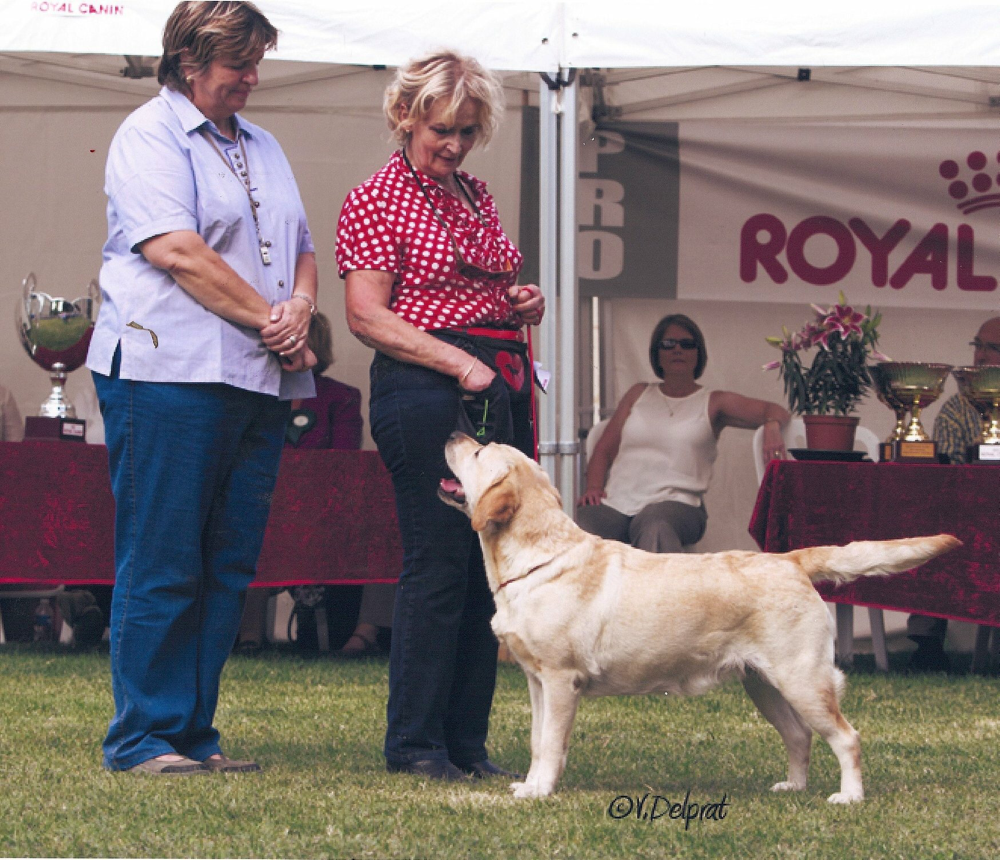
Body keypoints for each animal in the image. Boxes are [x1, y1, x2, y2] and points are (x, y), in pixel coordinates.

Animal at [442, 434, 956, 804]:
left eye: (479, 449)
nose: (452, 432)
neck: (537, 559)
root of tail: (790, 559)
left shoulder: (561, 680)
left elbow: (550, 744)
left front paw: (542, 791)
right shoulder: (536, 680)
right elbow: (536, 740)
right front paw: (530, 785)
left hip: (803, 679)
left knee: (847, 738)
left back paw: (848, 797)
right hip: (764, 684)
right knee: (799, 736)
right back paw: (793, 788)